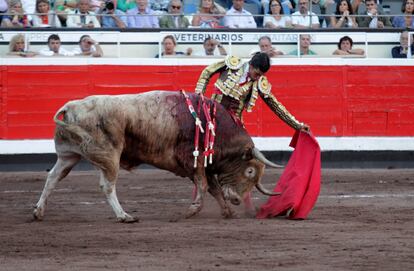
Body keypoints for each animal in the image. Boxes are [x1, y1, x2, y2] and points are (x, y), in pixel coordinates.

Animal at [33, 91, 282, 223]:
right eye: (249, 171)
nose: (238, 200)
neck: (216, 128)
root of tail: (71, 107)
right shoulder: (195, 161)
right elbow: (203, 185)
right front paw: (192, 210)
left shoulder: (205, 166)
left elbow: (214, 188)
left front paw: (228, 212)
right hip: (109, 157)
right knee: (107, 185)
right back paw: (124, 216)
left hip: (68, 155)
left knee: (53, 177)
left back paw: (38, 212)